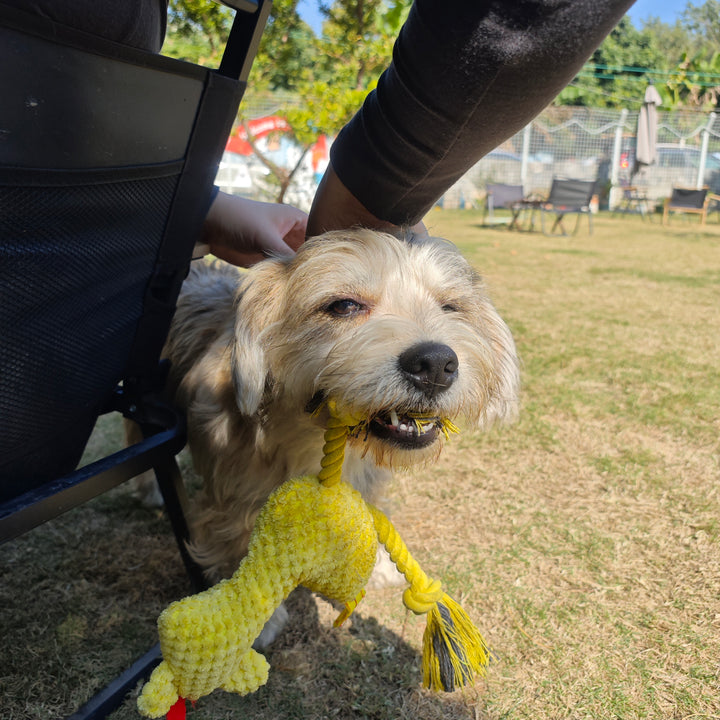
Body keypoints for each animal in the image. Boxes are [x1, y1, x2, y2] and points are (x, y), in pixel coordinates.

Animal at [148, 232, 516, 648]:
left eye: (451, 306)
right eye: (343, 306)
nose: (436, 364)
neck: (306, 437)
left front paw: (379, 566)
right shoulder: (232, 493)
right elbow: (234, 540)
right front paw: (252, 616)